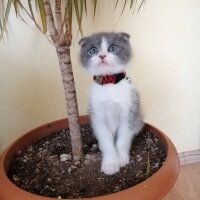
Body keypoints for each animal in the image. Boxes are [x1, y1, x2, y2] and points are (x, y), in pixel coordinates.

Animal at [79, 31, 143, 175]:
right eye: (93, 50)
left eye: (112, 48)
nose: (102, 55)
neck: (109, 84)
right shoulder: (98, 117)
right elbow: (107, 142)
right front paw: (110, 164)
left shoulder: (128, 113)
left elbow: (123, 140)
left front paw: (122, 159)